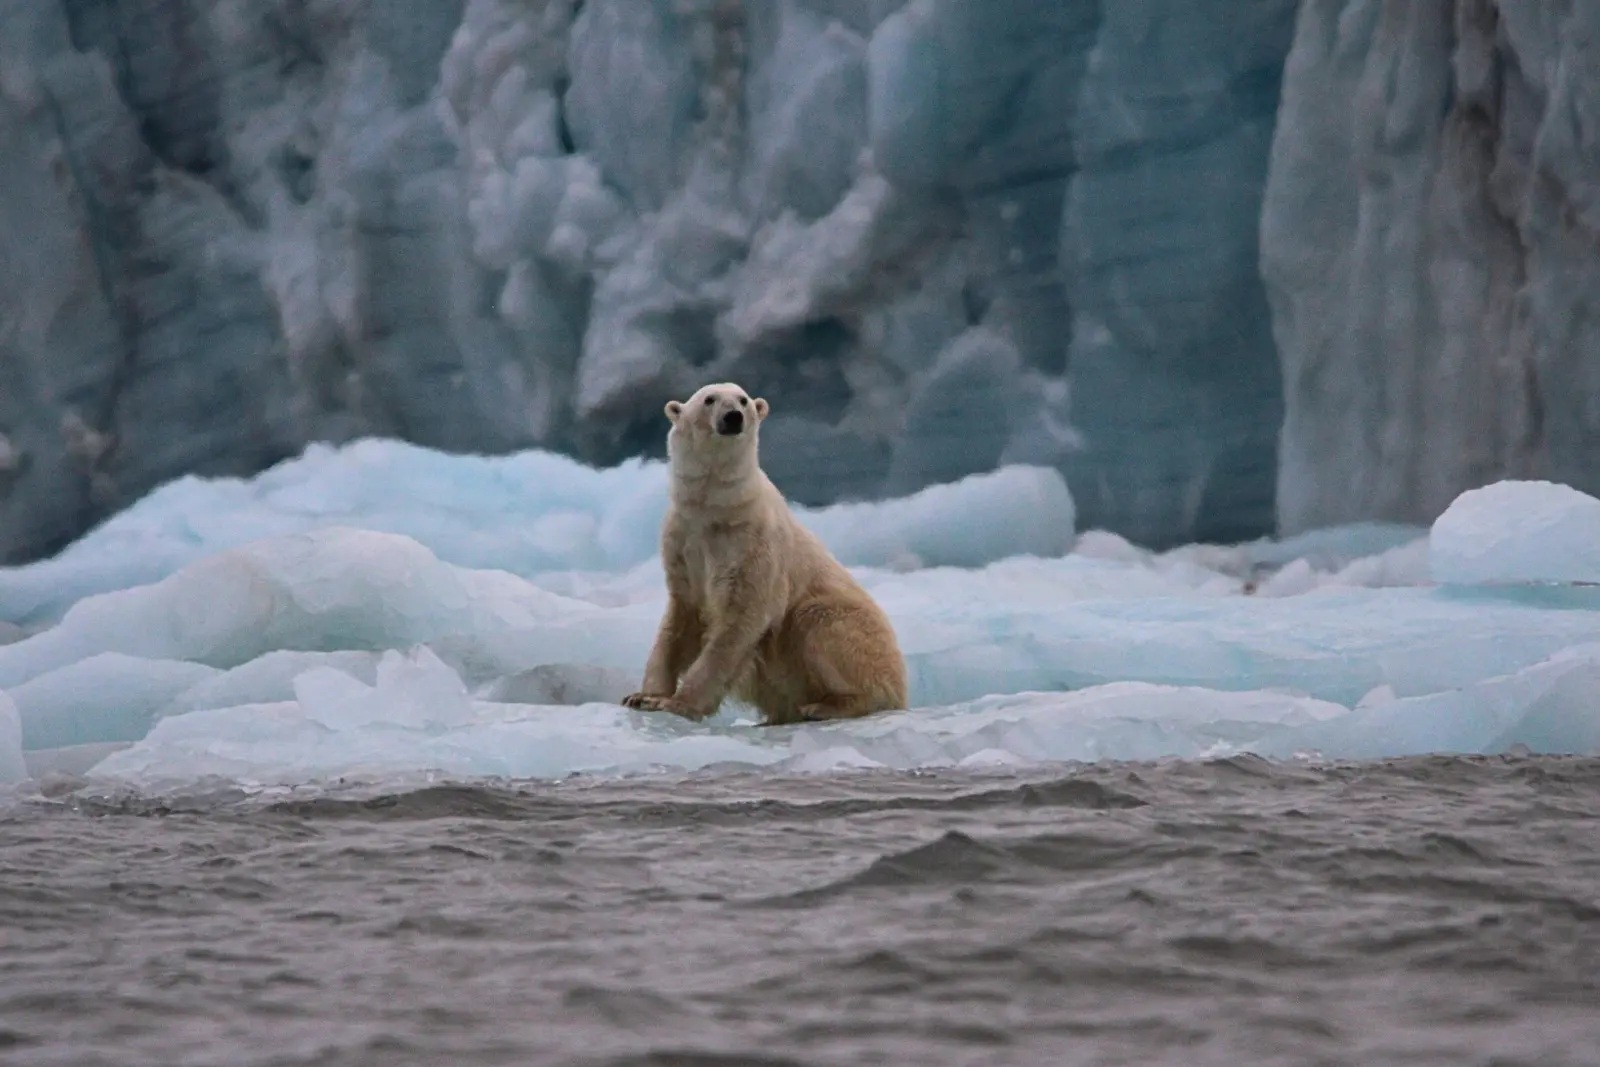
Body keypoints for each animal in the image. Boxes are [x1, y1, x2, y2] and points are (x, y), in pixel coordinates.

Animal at [620, 382, 910, 726]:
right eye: (709, 399)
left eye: (743, 399)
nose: (733, 416)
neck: (716, 510)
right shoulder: (683, 540)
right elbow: (680, 619)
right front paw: (643, 696)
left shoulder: (752, 546)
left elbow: (740, 618)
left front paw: (679, 703)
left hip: (856, 633)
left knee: (816, 623)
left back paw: (827, 706)